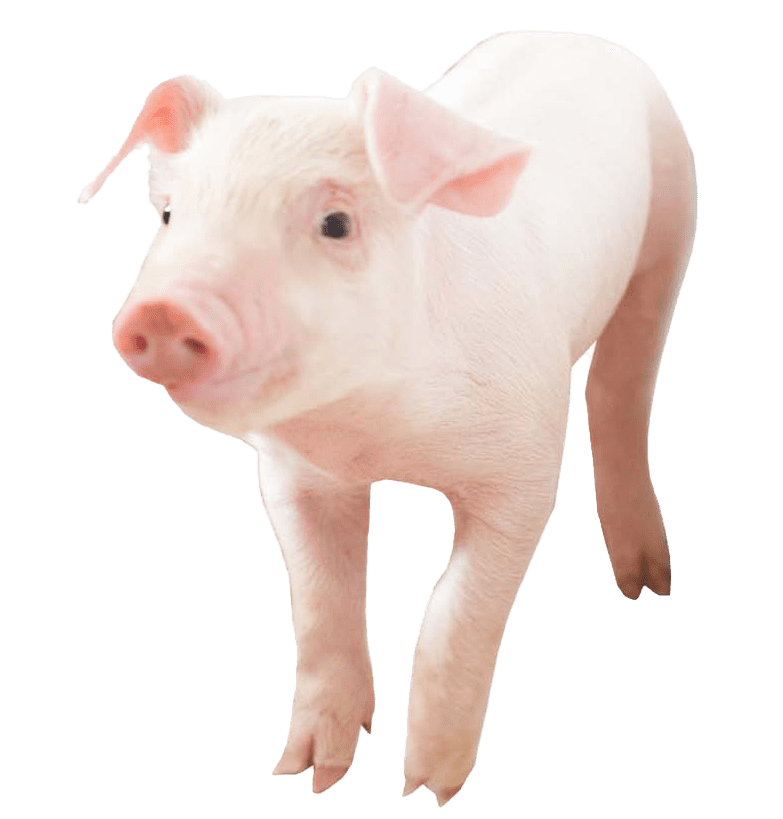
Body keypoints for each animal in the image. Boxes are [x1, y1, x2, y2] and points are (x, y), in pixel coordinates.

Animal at [77, 30, 698, 807]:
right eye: (168, 216)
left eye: (336, 223)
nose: (164, 313)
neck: (376, 437)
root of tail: (583, 35)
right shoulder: (292, 477)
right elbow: (319, 608)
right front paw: (309, 775)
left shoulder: (525, 462)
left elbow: (454, 614)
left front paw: (426, 790)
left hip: (671, 229)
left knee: (621, 385)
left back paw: (646, 585)